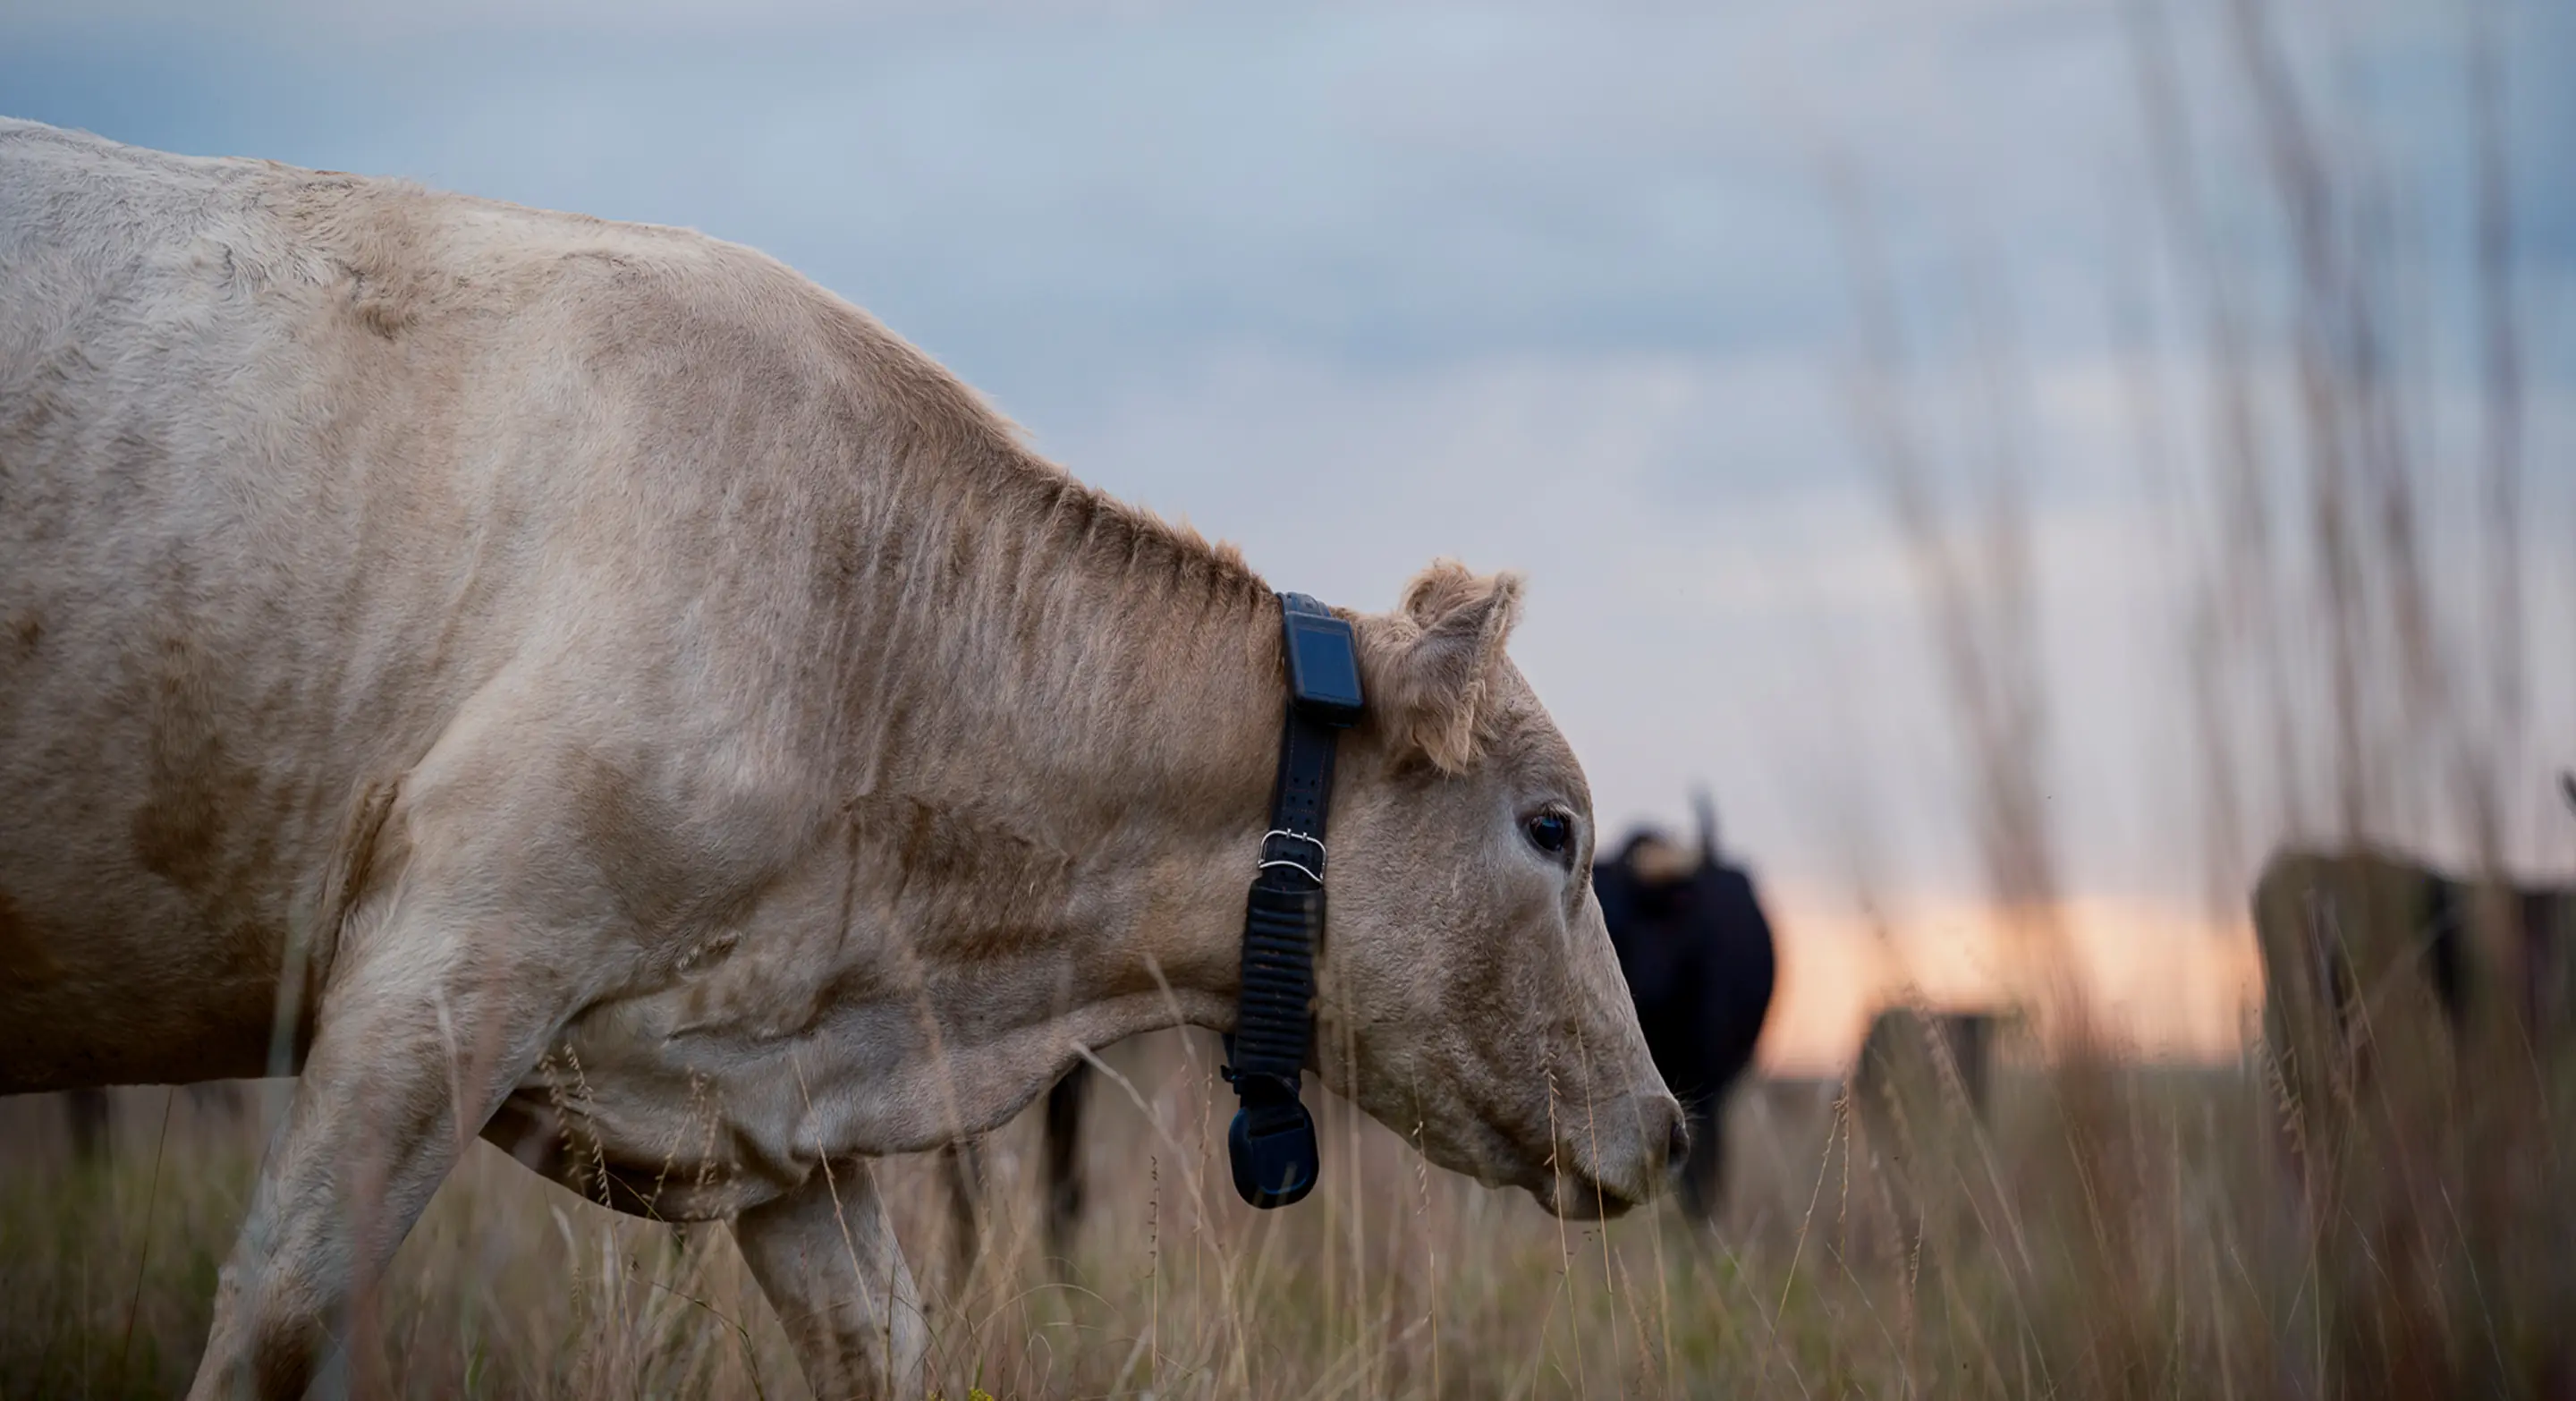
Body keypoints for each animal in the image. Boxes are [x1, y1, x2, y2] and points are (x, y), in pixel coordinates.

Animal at [0, 119, 1683, 1400]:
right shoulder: (448, 966)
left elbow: (879, 1334)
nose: (1663, 1127)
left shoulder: (765, 1099)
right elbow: (282, 1310)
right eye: (1553, 828)